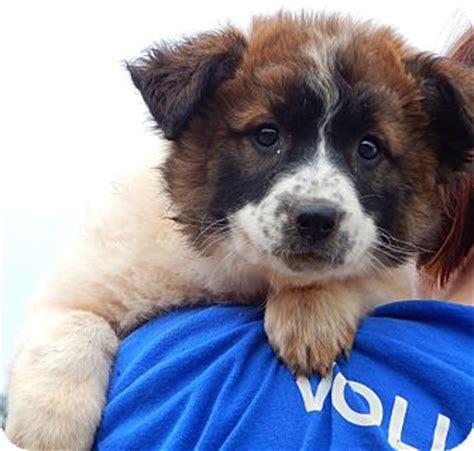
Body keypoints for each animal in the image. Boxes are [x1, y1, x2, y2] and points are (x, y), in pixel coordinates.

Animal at [5, 12, 472, 450]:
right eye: (267, 135)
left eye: (369, 148)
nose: (315, 219)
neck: (240, 275)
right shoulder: (84, 282)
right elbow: (76, 326)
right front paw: (48, 429)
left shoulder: (391, 278)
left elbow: (355, 275)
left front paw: (309, 313)